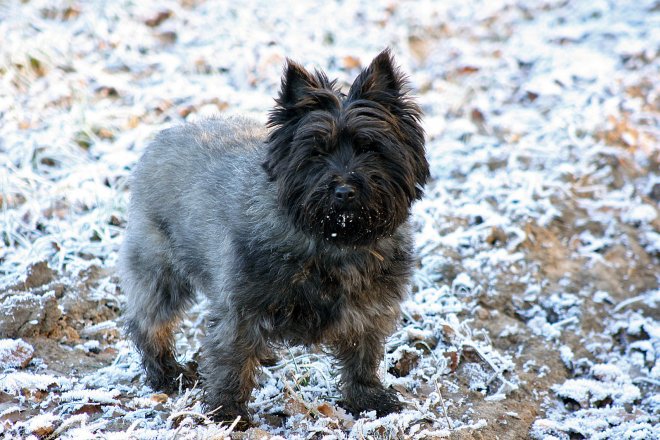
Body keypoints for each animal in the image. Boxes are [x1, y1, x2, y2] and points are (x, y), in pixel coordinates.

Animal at [118, 49, 428, 426]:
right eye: (316, 151)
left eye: (369, 147)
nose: (344, 190)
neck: (333, 240)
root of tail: (164, 137)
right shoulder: (242, 309)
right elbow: (231, 358)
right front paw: (227, 413)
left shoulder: (369, 310)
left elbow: (363, 356)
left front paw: (368, 398)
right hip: (160, 272)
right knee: (149, 322)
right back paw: (167, 373)